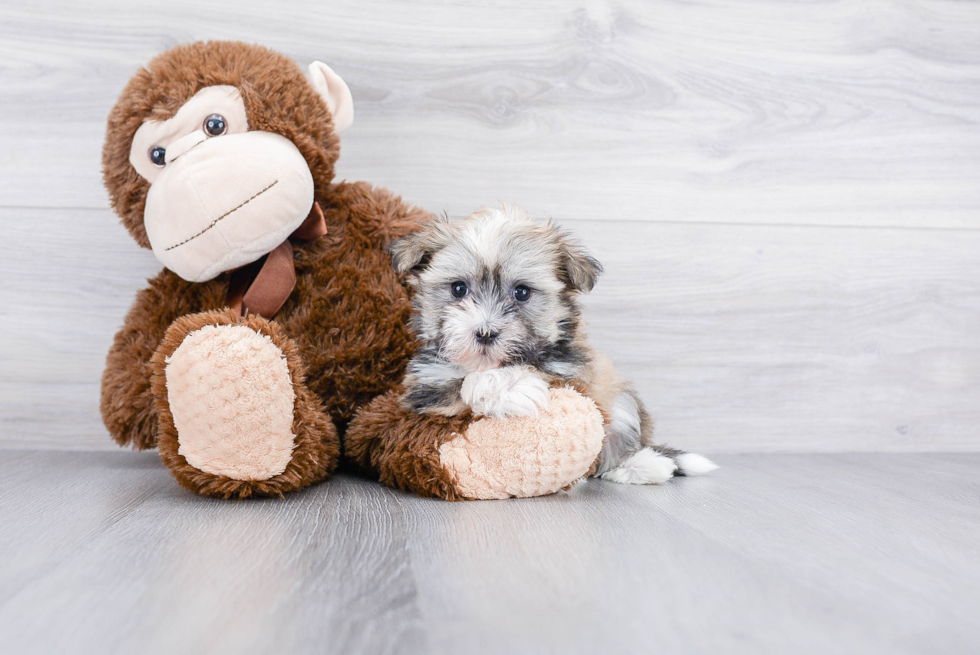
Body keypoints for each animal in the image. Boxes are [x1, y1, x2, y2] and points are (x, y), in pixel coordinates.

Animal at [390, 208, 720, 484]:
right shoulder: (425, 386)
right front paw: (508, 387)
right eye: (458, 288)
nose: (485, 333)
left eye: (522, 292)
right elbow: (457, 385)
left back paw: (640, 465)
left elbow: (541, 373)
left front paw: (513, 384)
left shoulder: (573, 374)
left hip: (620, 400)